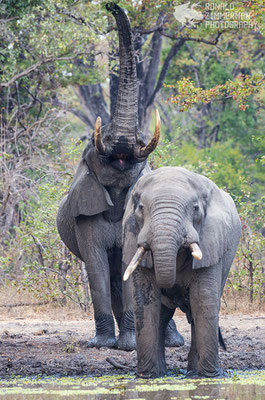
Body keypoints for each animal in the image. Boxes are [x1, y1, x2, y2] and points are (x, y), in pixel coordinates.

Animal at [56, 2, 183, 350]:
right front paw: (102, 345)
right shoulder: (84, 214)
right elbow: (96, 269)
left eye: (140, 142)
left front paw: (128, 346)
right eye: (100, 147)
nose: (111, 6)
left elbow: (131, 265)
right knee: (112, 278)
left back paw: (173, 342)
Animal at [122, 166, 240, 378]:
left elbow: (202, 299)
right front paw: (146, 377)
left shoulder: (211, 241)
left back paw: (193, 372)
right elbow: (146, 301)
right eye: (141, 208)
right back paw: (161, 373)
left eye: (195, 209)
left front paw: (210, 377)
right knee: (162, 316)